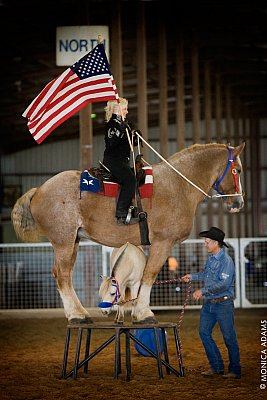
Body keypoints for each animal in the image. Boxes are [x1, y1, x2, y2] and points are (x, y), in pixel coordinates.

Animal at [12, 142, 247, 324]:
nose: (238, 203)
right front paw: (143, 313)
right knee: (61, 275)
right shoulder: (163, 243)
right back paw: (77, 315)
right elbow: (149, 276)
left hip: (73, 242)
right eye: (238, 170)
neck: (177, 185)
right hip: (63, 241)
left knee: (66, 275)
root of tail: (39, 189)